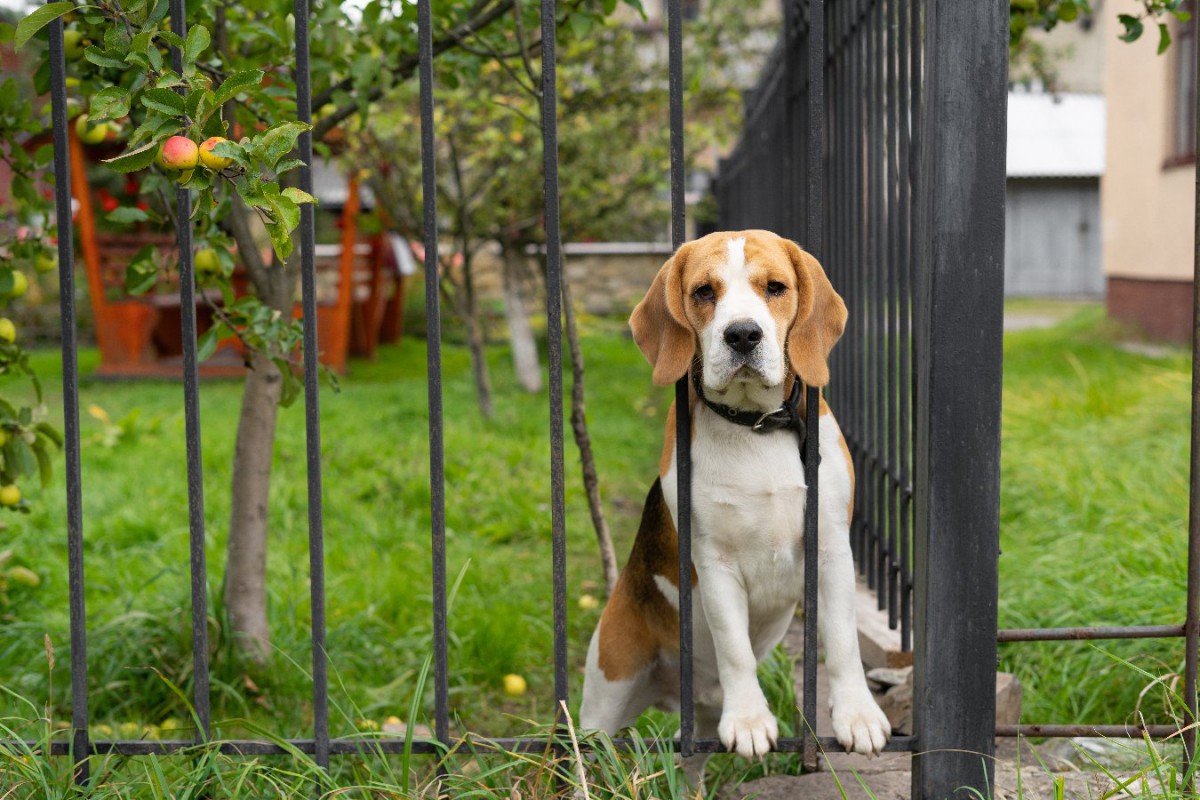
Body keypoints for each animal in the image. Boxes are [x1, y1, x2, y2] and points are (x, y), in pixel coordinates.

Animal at [580, 227, 892, 767]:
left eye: (775, 287)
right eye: (705, 292)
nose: (743, 334)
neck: (757, 428)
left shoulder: (831, 549)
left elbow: (843, 642)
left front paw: (857, 714)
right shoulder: (715, 562)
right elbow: (735, 648)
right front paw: (749, 718)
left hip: (696, 733)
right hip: (599, 705)